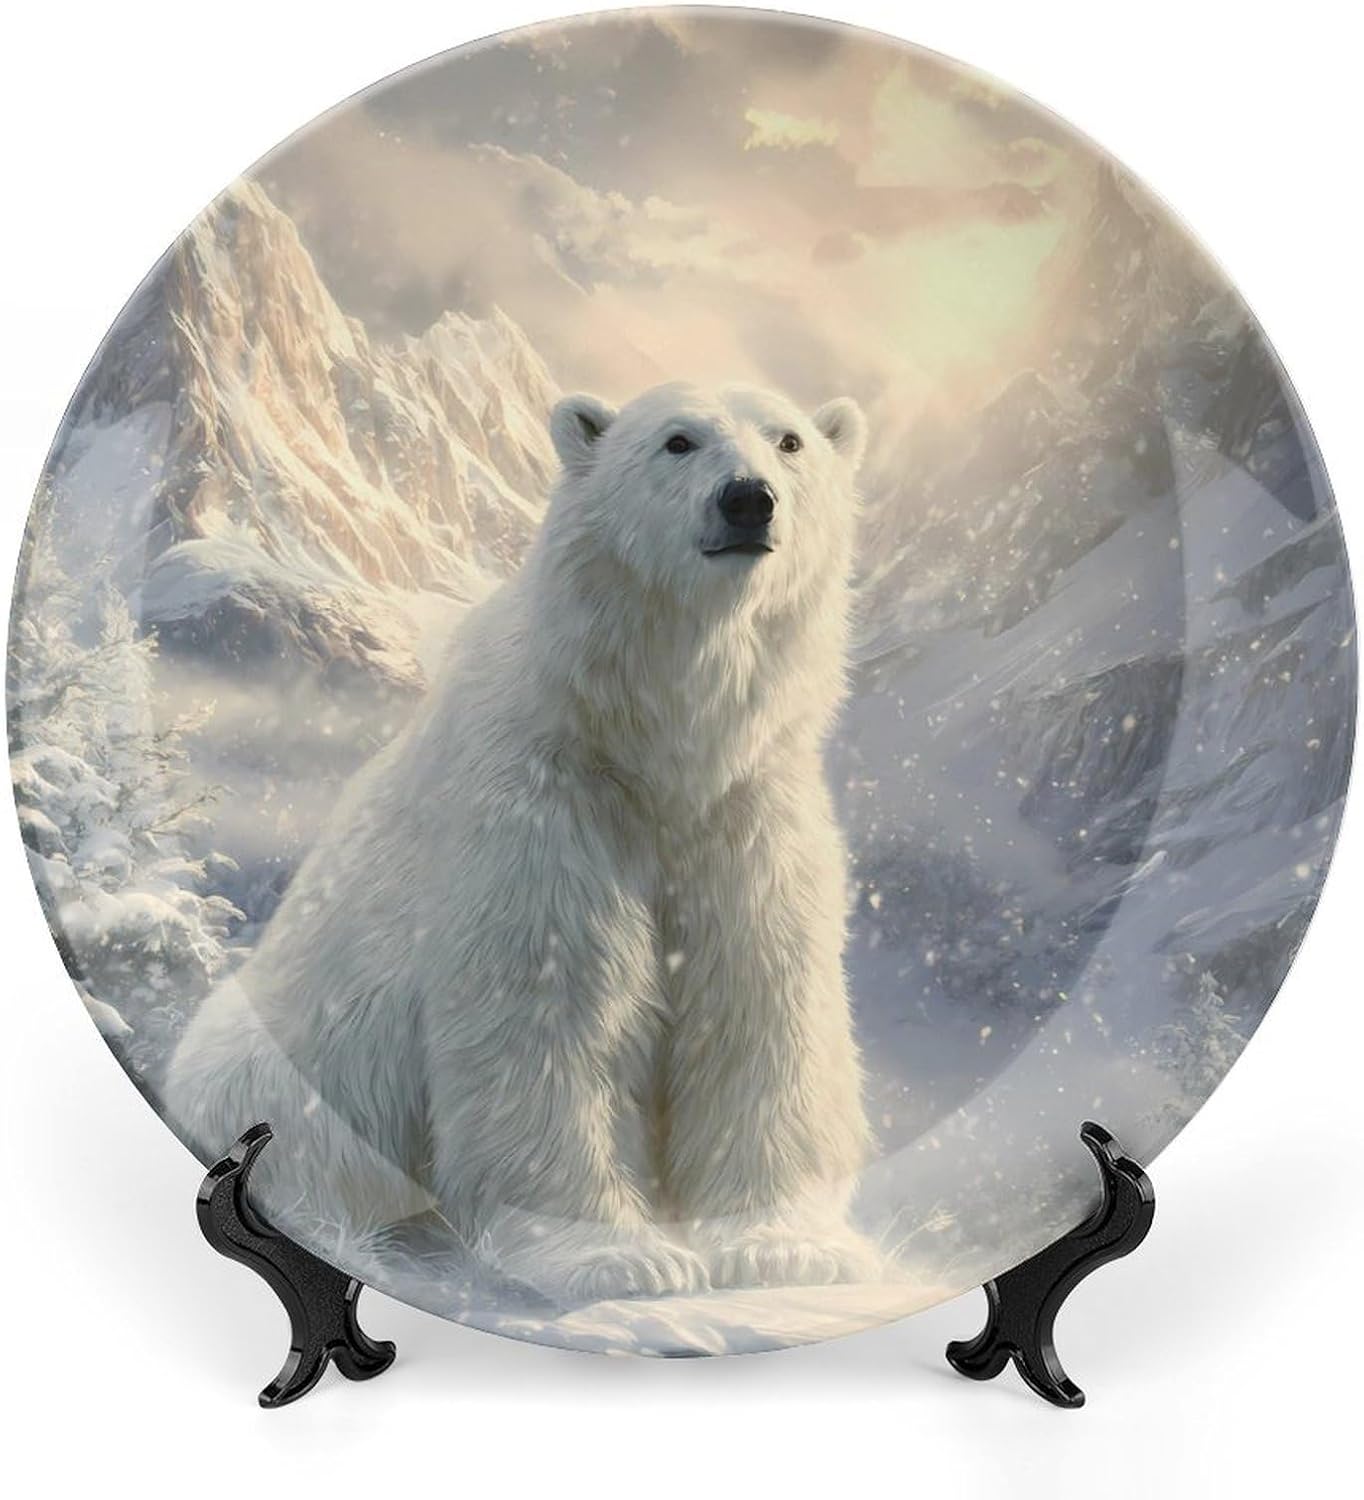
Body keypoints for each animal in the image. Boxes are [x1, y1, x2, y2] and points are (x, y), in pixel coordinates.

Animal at [165, 380, 879, 1304]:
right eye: (677, 440)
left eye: (790, 440)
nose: (748, 498)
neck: (653, 746)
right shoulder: (540, 807)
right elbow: (549, 1008)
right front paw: (617, 1257)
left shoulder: (746, 815)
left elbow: (755, 1000)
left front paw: (783, 1246)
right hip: (277, 1069)